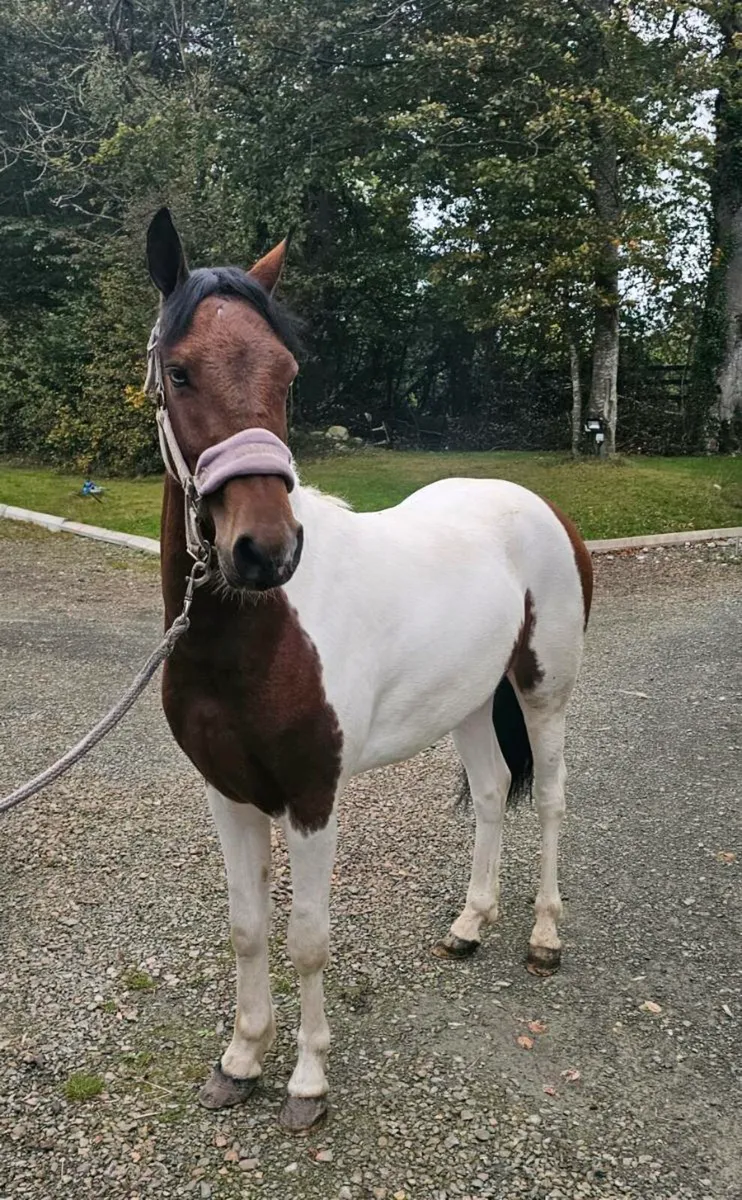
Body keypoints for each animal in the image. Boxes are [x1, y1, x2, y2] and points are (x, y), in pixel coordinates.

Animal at [144, 207, 592, 1133]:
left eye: (286, 373)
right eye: (180, 370)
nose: (265, 549)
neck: (259, 635)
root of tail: (541, 508)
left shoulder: (313, 796)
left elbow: (308, 937)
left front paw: (308, 1082)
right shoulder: (226, 791)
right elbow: (247, 928)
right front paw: (239, 1060)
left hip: (543, 691)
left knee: (552, 800)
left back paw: (543, 938)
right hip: (469, 702)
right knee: (493, 792)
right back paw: (469, 925)